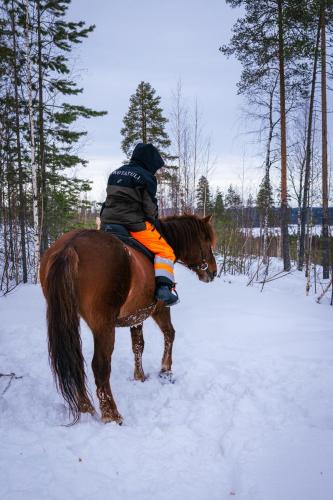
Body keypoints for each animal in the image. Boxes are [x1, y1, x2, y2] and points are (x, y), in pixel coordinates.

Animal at [39, 213, 217, 424]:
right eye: (206, 241)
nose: (213, 271)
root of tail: (70, 246)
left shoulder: (136, 315)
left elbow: (138, 345)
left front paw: (139, 376)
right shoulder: (160, 309)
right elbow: (170, 334)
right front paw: (165, 370)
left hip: (70, 318)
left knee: (75, 361)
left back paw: (86, 407)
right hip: (103, 325)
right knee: (100, 366)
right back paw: (112, 415)